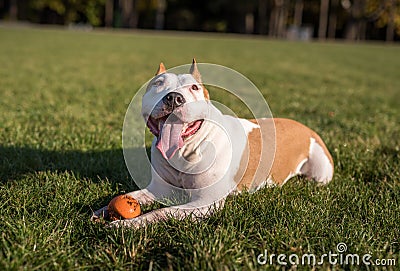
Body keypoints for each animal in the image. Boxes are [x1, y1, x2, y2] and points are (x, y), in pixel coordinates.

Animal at [92, 60, 332, 228]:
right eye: (158, 84)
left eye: (195, 88)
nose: (174, 98)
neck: (186, 150)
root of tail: (305, 126)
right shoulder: (160, 189)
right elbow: (133, 196)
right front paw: (101, 211)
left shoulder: (205, 203)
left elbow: (162, 212)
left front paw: (128, 224)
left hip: (321, 172)